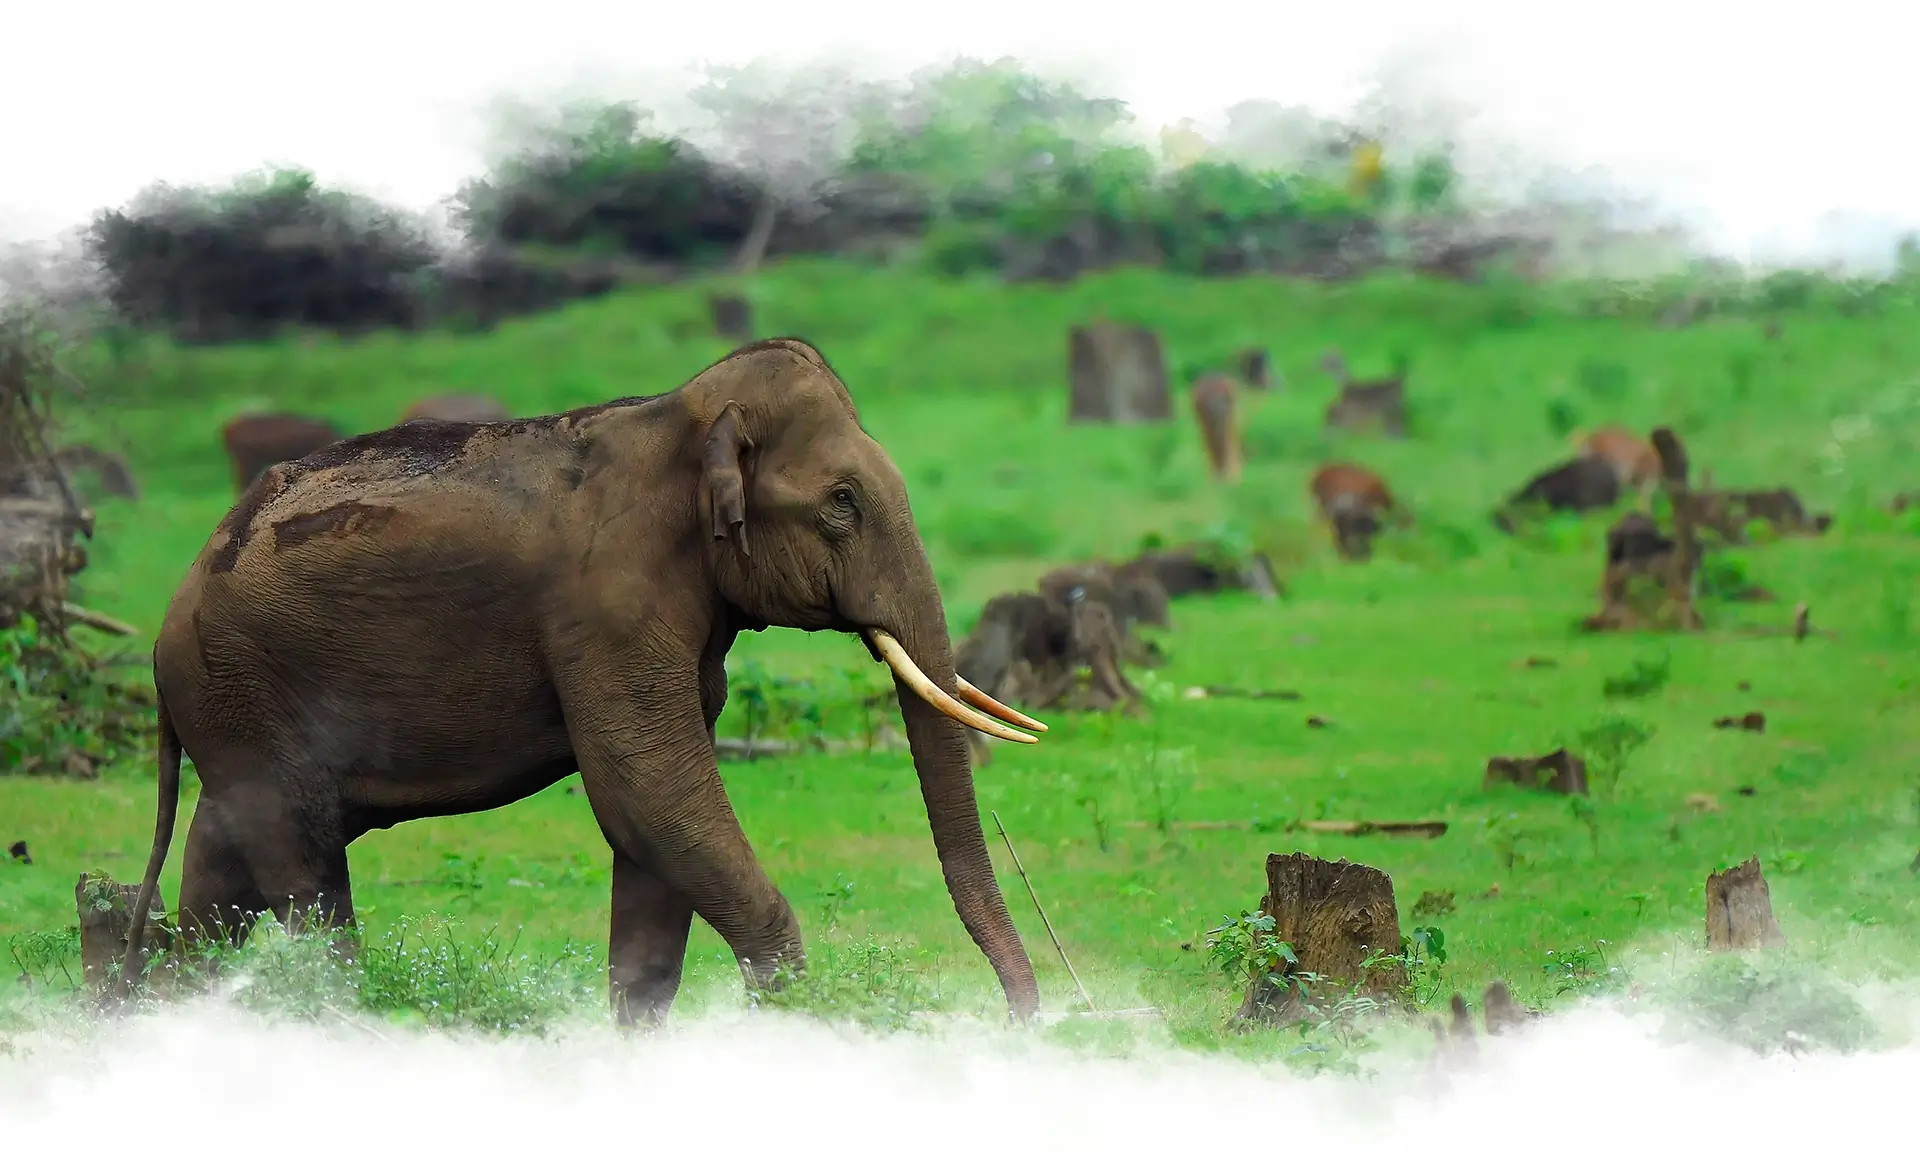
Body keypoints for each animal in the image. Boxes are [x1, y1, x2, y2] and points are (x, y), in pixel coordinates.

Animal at [122, 338, 1048, 1025]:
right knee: (304, 875)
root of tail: (175, 604)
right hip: (239, 684)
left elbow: (651, 838)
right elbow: (648, 794)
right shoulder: (608, 609)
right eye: (843, 501)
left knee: (220, 875)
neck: (680, 418)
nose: (1021, 1024)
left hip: (231, 706)